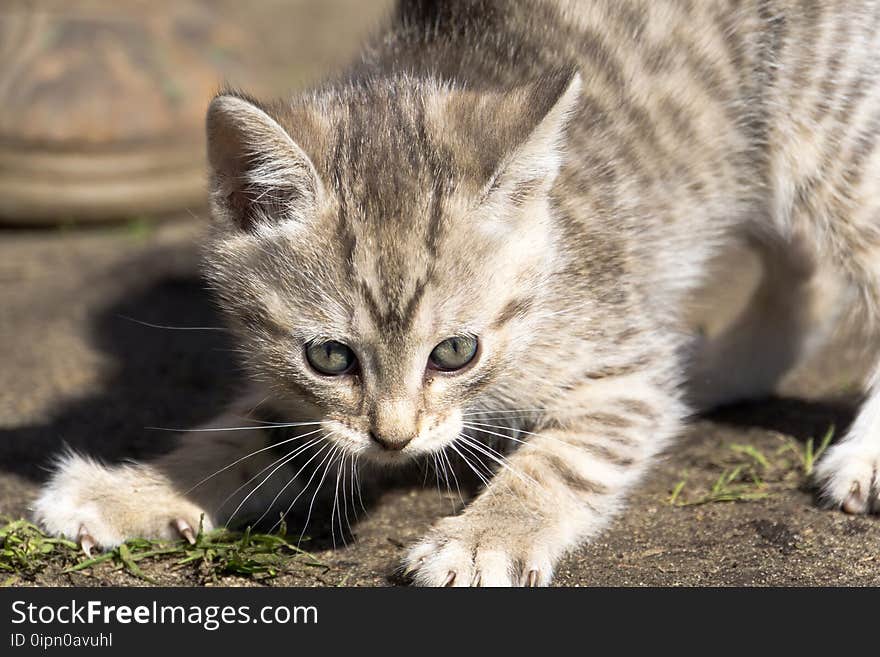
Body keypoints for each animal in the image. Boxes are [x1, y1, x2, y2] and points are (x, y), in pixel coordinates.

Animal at [32, 0, 880, 584]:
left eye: (456, 351)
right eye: (329, 357)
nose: (394, 439)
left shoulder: (619, 365)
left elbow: (560, 459)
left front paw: (484, 535)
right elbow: (262, 434)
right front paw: (137, 489)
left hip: (830, 133)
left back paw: (858, 455)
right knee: (805, 274)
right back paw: (705, 369)